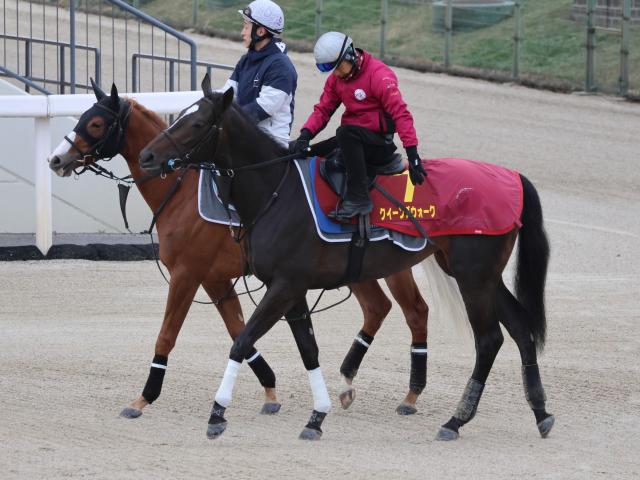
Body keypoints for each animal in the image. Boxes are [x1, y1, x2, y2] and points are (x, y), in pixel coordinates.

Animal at [47, 82, 436, 424]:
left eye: (96, 123)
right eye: (82, 117)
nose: (56, 158)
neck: (182, 192)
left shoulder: (188, 274)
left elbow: (168, 334)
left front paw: (144, 398)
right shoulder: (217, 280)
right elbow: (239, 331)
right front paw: (269, 390)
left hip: (388, 267)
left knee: (414, 312)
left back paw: (410, 395)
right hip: (360, 270)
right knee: (379, 308)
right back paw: (350, 383)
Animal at [139, 78, 556, 442]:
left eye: (196, 123)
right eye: (177, 116)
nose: (147, 156)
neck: (278, 192)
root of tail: (512, 177)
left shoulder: (283, 286)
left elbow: (241, 342)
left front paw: (217, 413)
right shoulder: (292, 289)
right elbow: (308, 350)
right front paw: (317, 415)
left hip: (473, 278)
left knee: (488, 340)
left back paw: (456, 420)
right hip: (480, 276)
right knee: (520, 330)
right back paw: (540, 411)